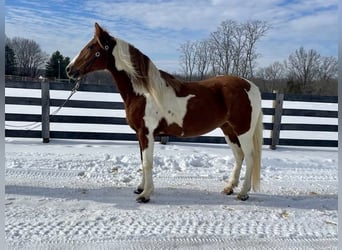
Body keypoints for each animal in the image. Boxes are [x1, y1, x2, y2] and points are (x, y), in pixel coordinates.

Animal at [67, 22, 264, 203]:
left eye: (91, 46)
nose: (69, 69)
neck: (143, 92)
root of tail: (251, 86)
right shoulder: (140, 134)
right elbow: (142, 160)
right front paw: (140, 188)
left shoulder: (146, 133)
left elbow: (147, 162)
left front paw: (146, 195)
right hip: (228, 130)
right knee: (239, 156)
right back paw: (229, 188)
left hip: (243, 131)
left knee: (250, 156)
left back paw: (243, 193)